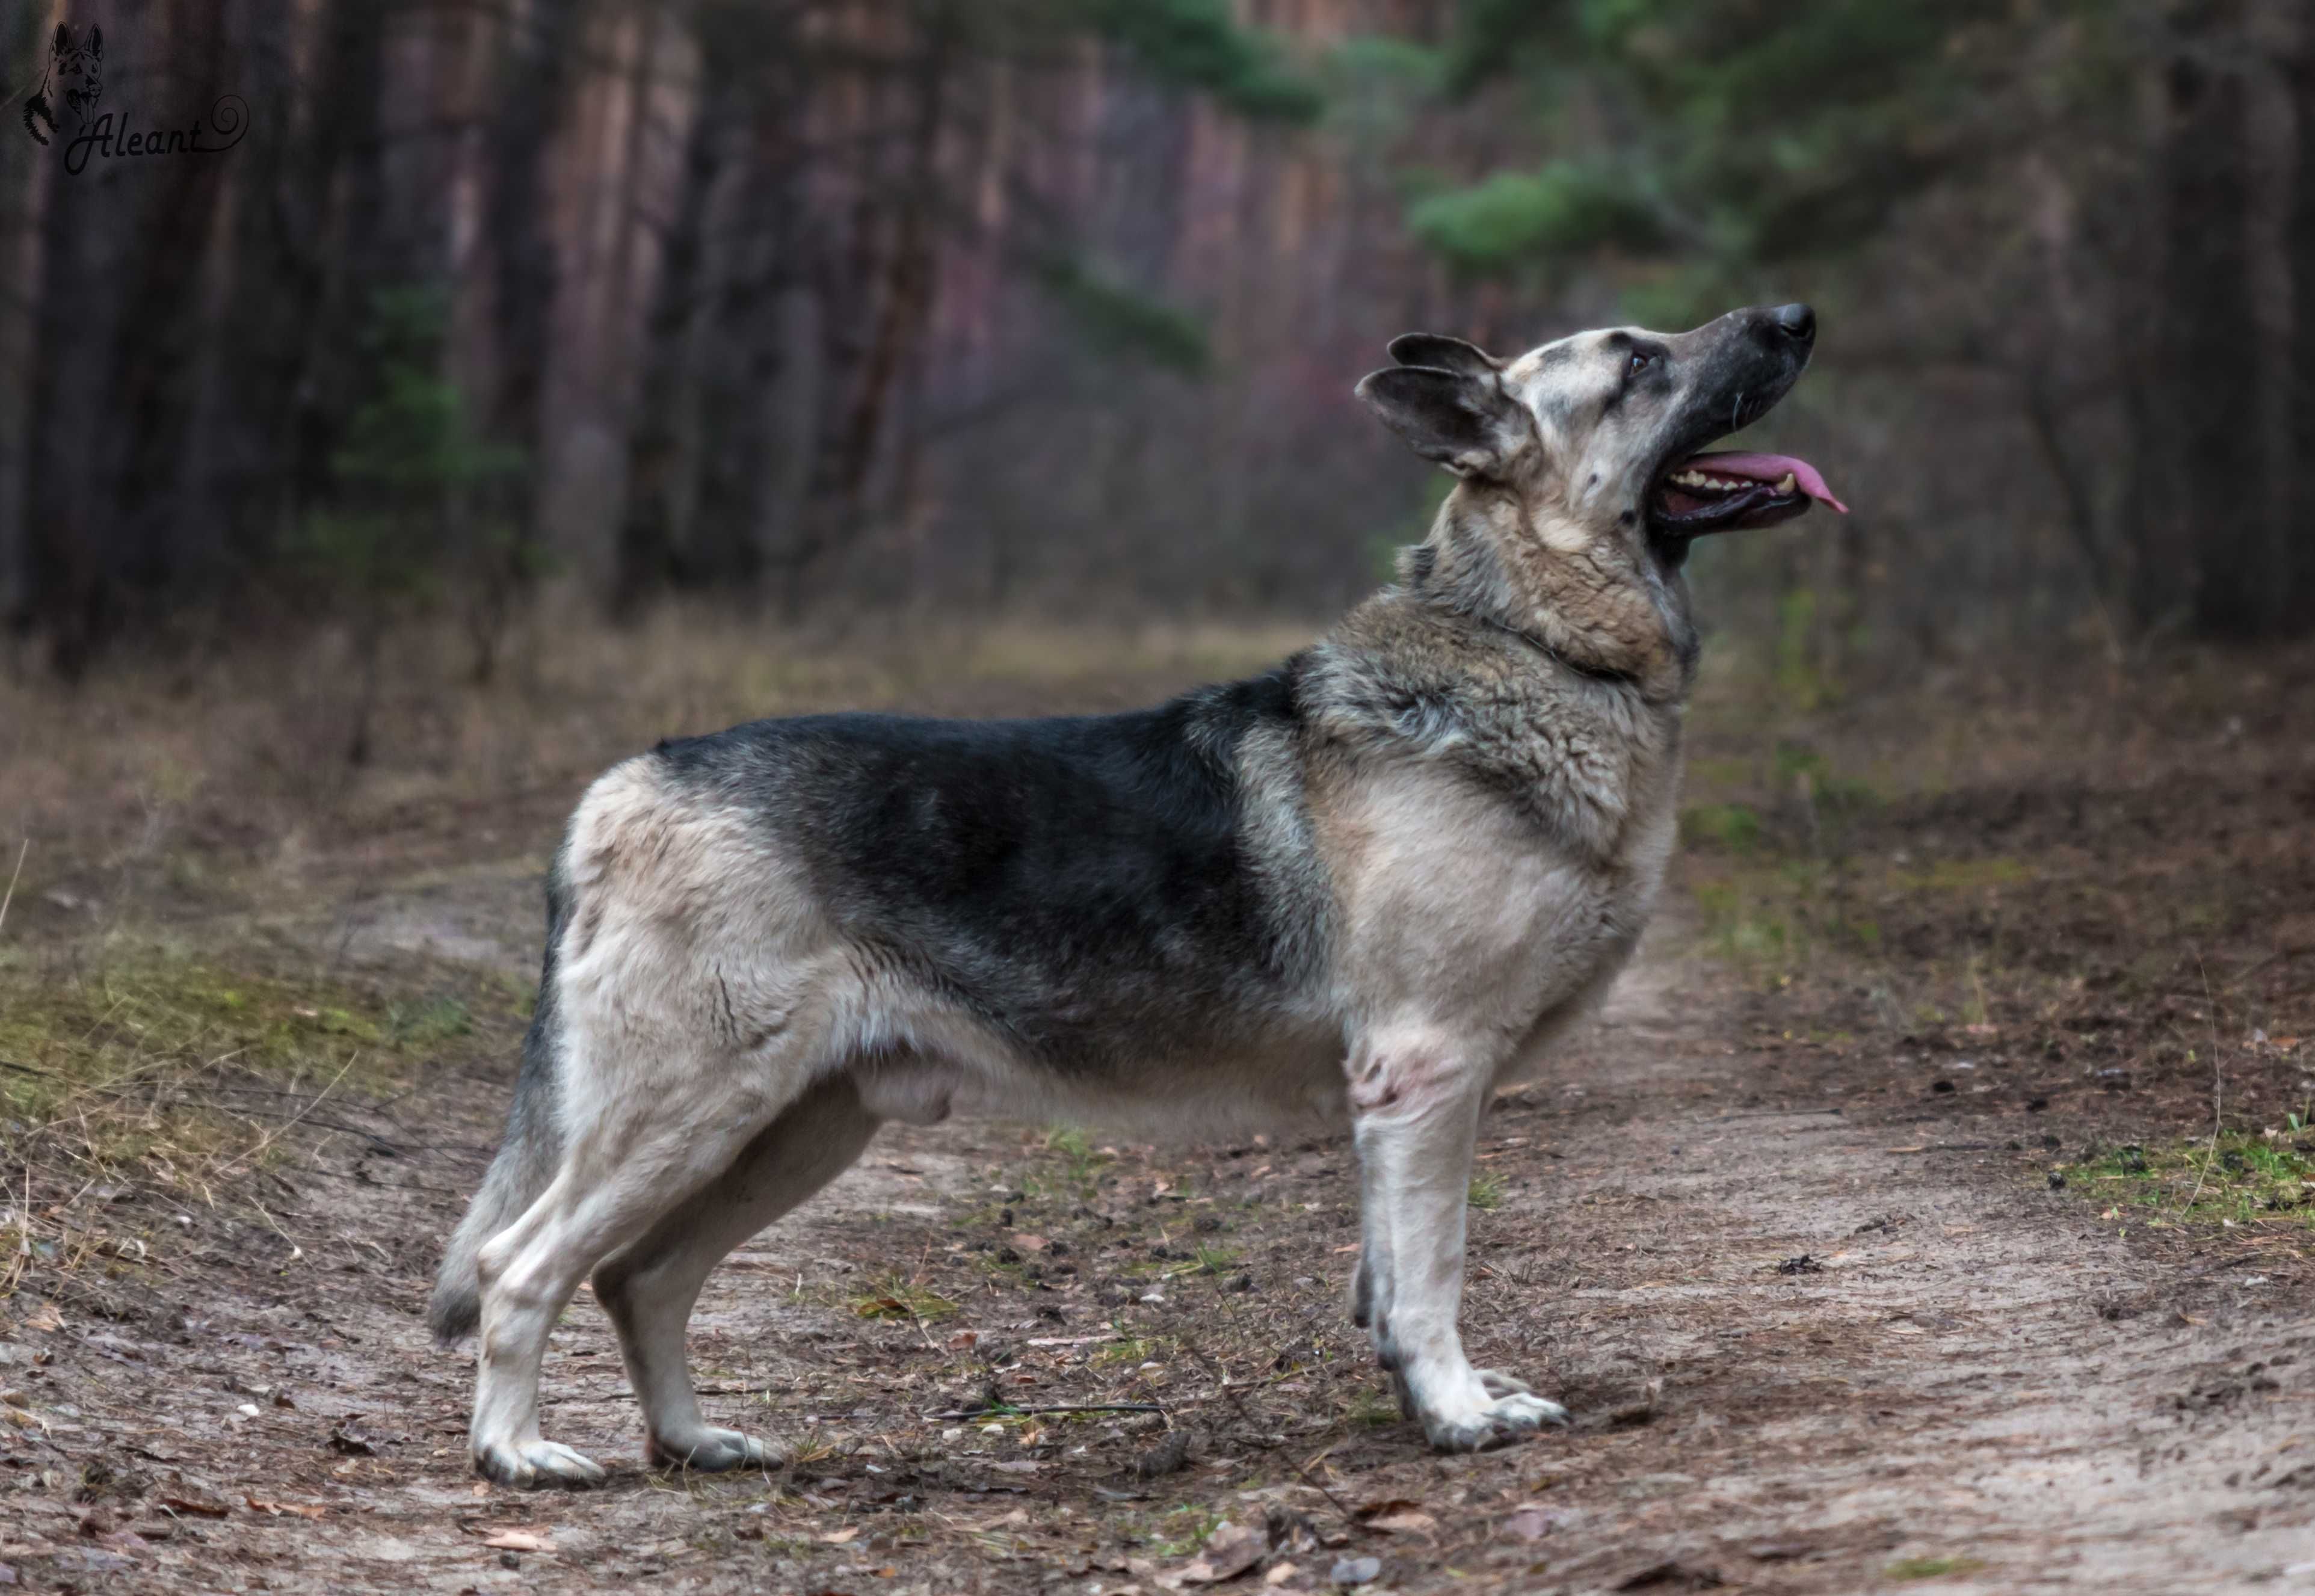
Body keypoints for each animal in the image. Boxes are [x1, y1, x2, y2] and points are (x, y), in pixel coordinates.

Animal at [430, 301, 1843, 1482]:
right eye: (1637, 363)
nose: (1794, 315)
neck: (1528, 639)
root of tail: (625, 783)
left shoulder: (1400, 1099)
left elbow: (1386, 1281)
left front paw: (1426, 1398)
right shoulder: (1427, 1071)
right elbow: (1433, 1270)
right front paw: (1454, 1415)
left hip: (792, 1126)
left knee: (644, 1279)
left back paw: (691, 1441)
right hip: (686, 1108)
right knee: (521, 1266)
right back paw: (518, 1453)